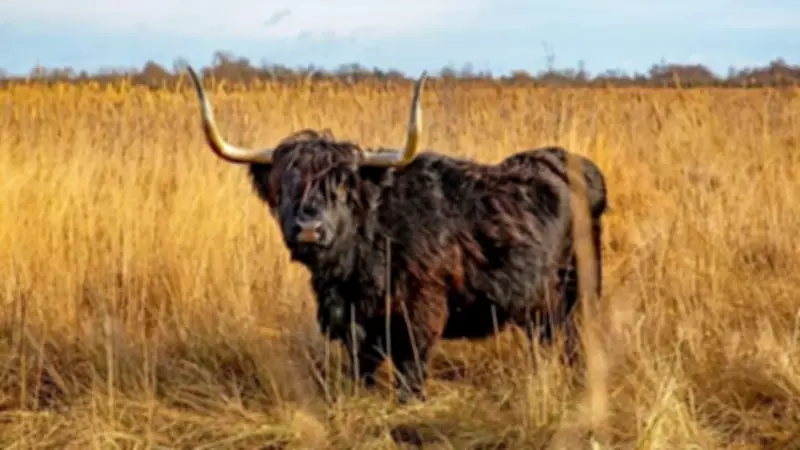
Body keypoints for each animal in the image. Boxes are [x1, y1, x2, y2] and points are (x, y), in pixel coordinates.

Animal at [183, 66, 608, 402]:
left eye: (343, 187)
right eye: (285, 187)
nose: (309, 229)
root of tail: (576, 164)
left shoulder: (419, 315)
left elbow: (410, 374)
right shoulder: (354, 325)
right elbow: (362, 370)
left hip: (577, 291)